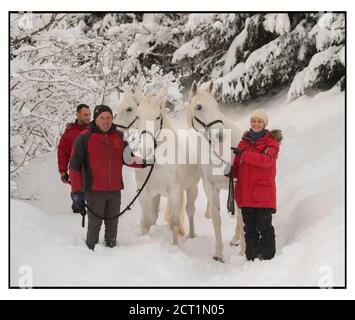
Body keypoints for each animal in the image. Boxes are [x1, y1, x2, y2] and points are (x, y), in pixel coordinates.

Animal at [114, 91, 200, 244]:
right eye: (138, 116)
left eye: (158, 116)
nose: (146, 148)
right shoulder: (145, 192)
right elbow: (146, 222)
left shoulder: (174, 192)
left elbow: (174, 222)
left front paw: (175, 246)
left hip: (192, 188)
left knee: (190, 211)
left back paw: (191, 236)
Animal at [186, 79, 245, 260]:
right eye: (199, 107)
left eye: (216, 105)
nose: (220, 135)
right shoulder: (210, 186)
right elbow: (216, 219)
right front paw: (218, 253)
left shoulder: (238, 182)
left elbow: (242, 217)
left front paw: (244, 253)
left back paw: (237, 240)